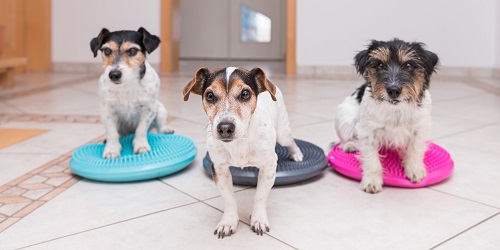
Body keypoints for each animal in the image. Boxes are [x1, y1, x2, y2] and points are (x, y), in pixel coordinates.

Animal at [90, 27, 174, 158]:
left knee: (160, 127)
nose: (114, 74)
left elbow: (141, 130)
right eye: (107, 50)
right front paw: (111, 149)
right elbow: (112, 132)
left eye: (133, 50)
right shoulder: (107, 111)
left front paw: (141, 146)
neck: (127, 86)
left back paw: (166, 129)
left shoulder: (148, 110)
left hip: (160, 110)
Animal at [182, 67, 302, 238]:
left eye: (245, 94)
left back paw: (297, 154)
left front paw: (258, 219)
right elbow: (229, 199)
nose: (225, 127)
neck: (239, 142)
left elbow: (260, 196)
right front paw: (228, 222)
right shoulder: (219, 169)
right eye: (210, 95)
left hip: (282, 132)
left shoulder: (269, 167)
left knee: (290, 141)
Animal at [336, 39, 438, 194]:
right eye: (380, 65)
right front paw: (371, 182)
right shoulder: (368, 131)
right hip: (344, 119)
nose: (393, 90)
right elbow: (371, 158)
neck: (395, 109)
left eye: (408, 65)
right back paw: (350, 145)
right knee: (344, 140)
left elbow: (415, 149)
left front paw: (415, 170)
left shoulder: (420, 128)